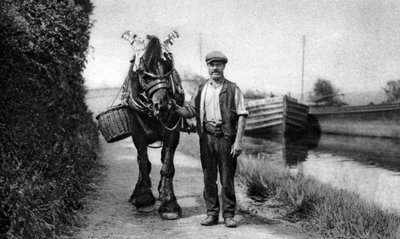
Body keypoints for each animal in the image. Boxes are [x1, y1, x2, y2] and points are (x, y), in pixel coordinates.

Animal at [122, 34, 185, 219]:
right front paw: (143, 199)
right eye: (145, 75)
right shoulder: (138, 135)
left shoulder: (173, 133)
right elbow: (143, 163)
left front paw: (169, 204)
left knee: (164, 158)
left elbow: (167, 166)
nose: (164, 106)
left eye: (168, 66)